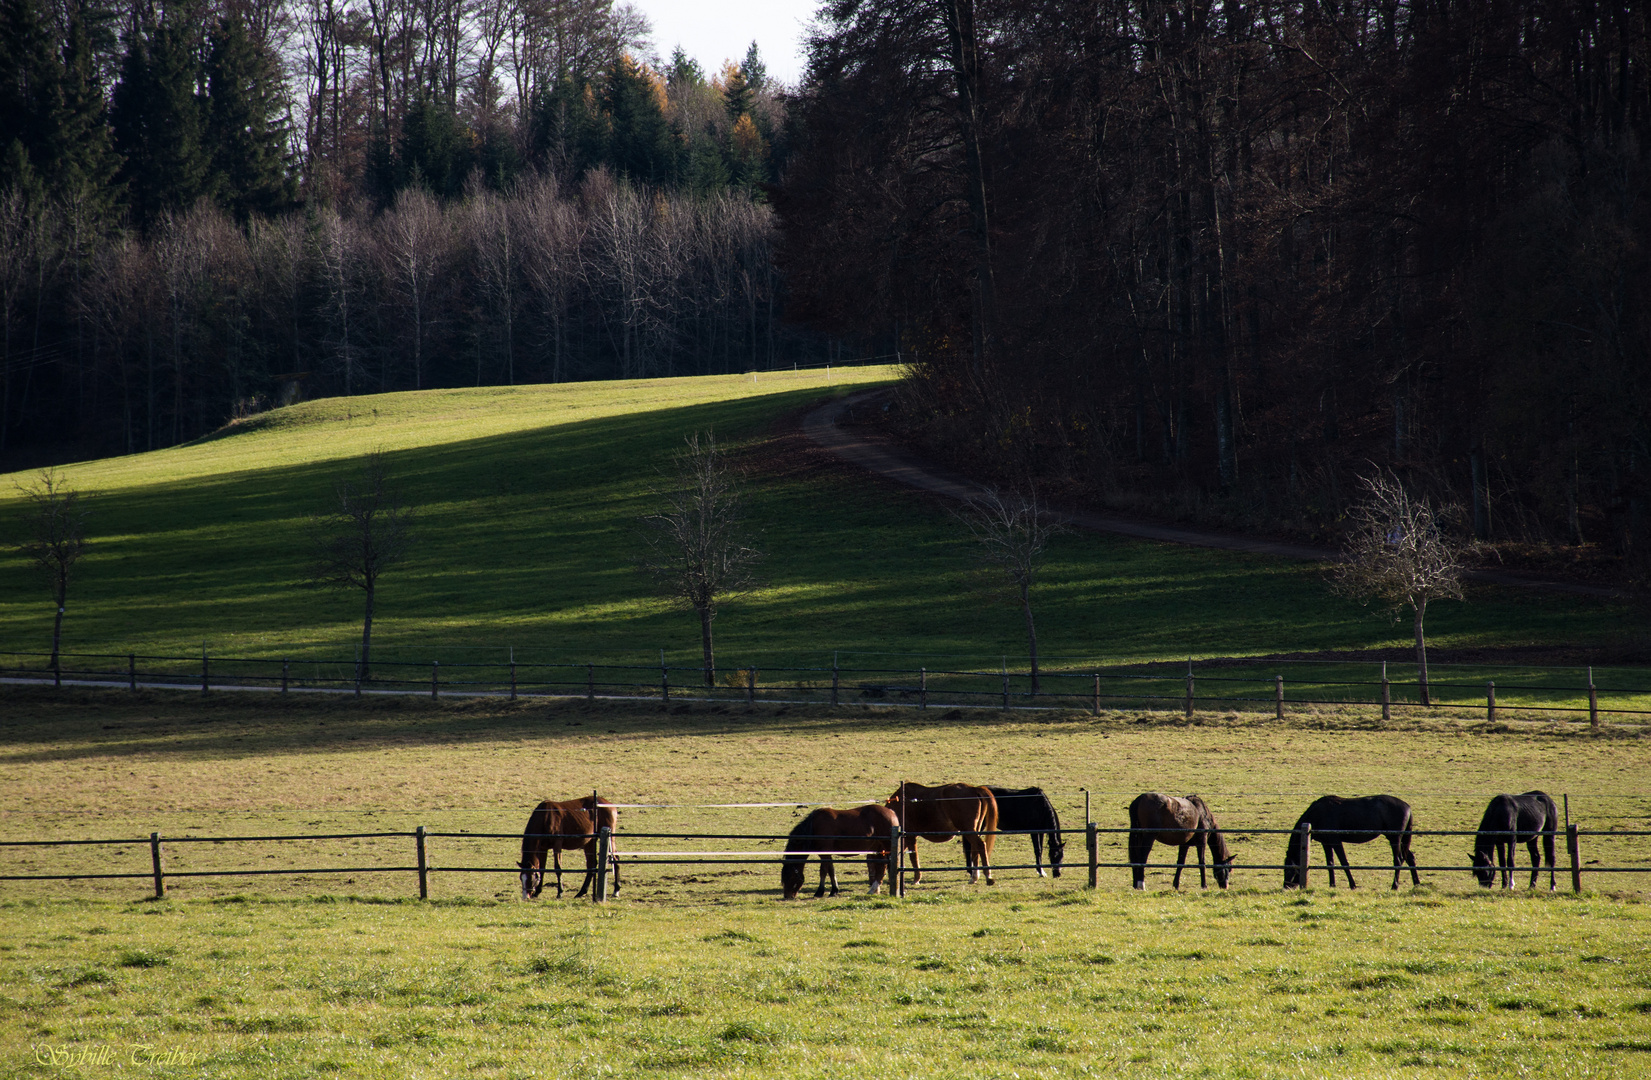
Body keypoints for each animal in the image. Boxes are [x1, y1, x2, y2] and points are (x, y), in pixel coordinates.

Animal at [1274, 792, 1419, 891]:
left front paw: (1352, 885)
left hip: (1395, 838)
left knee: (1398, 860)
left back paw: (1394, 886)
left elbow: (1344, 862)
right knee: (1409, 857)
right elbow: (1330, 863)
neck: (1317, 813)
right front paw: (1332, 885)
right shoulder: (1326, 843)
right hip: (1401, 840)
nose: (1286, 886)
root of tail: (1407, 806)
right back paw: (1416, 883)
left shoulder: (1335, 841)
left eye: (1288, 870)